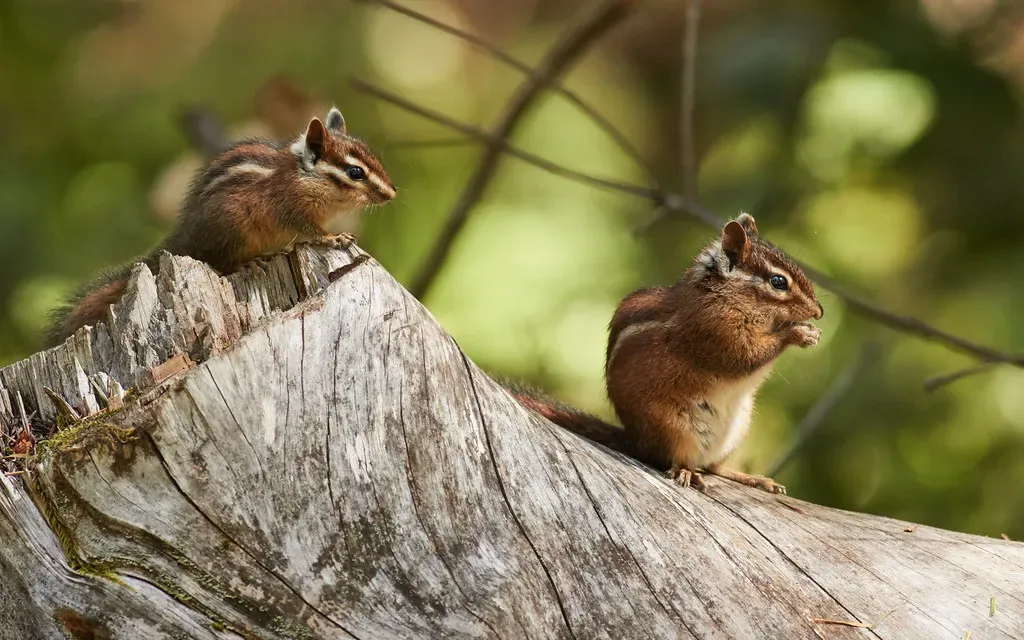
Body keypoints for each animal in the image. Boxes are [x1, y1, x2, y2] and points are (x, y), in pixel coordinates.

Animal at [46, 106, 396, 346]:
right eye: (355, 172)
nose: (392, 193)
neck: (303, 176)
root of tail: (183, 239)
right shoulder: (291, 209)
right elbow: (311, 232)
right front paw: (334, 237)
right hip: (234, 230)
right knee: (219, 264)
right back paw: (251, 262)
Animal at [510, 213, 823, 494]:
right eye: (778, 282)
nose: (819, 311)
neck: (723, 295)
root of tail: (636, 441)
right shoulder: (715, 331)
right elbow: (745, 357)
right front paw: (798, 333)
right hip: (674, 428)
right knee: (678, 461)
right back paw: (687, 472)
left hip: (738, 427)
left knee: (715, 466)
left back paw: (753, 479)